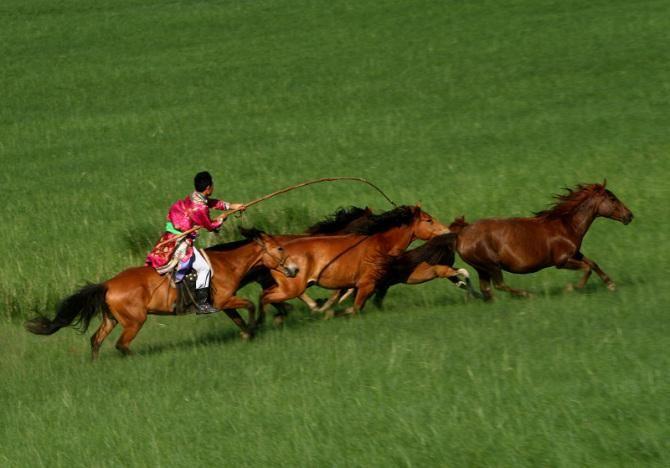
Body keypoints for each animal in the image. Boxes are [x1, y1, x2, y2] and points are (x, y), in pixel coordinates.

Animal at [26, 229, 298, 358]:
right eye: (280, 248)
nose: (294, 270)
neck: (226, 263)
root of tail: (108, 284)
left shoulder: (223, 304)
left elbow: (239, 318)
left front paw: (247, 333)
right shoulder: (224, 300)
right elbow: (250, 305)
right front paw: (255, 327)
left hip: (111, 319)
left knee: (96, 340)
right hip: (134, 321)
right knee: (121, 344)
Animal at [258, 206, 452, 322]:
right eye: (429, 220)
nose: (447, 231)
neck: (379, 246)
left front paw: (326, 309)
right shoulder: (366, 285)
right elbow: (355, 308)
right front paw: (328, 312)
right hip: (293, 287)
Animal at [452, 181, 636, 302]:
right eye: (612, 199)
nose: (629, 215)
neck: (566, 225)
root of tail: (462, 232)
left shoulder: (575, 253)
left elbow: (593, 263)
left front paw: (611, 285)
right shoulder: (561, 261)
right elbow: (587, 268)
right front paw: (572, 288)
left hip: (481, 268)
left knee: (487, 289)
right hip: (491, 265)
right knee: (498, 285)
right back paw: (528, 295)